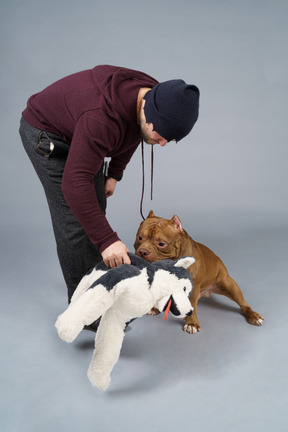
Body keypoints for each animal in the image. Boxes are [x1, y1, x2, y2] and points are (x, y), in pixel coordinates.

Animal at [134, 211, 264, 332]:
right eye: (140, 238)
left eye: (161, 244)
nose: (143, 251)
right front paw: (155, 308)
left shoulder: (194, 286)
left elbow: (192, 304)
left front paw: (191, 323)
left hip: (229, 285)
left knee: (243, 304)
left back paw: (253, 316)